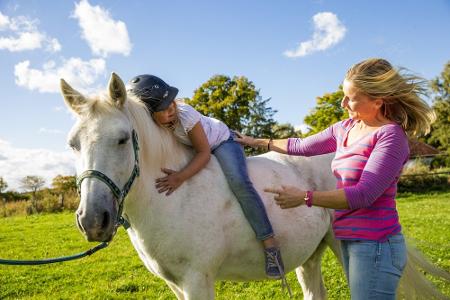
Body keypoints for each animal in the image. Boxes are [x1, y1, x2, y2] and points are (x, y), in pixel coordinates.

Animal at [61, 73, 448, 300]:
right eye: (72, 144)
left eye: (123, 139)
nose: (93, 220)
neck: (173, 197)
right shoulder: (176, 285)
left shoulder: (198, 280)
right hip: (310, 254)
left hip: (343, 248)